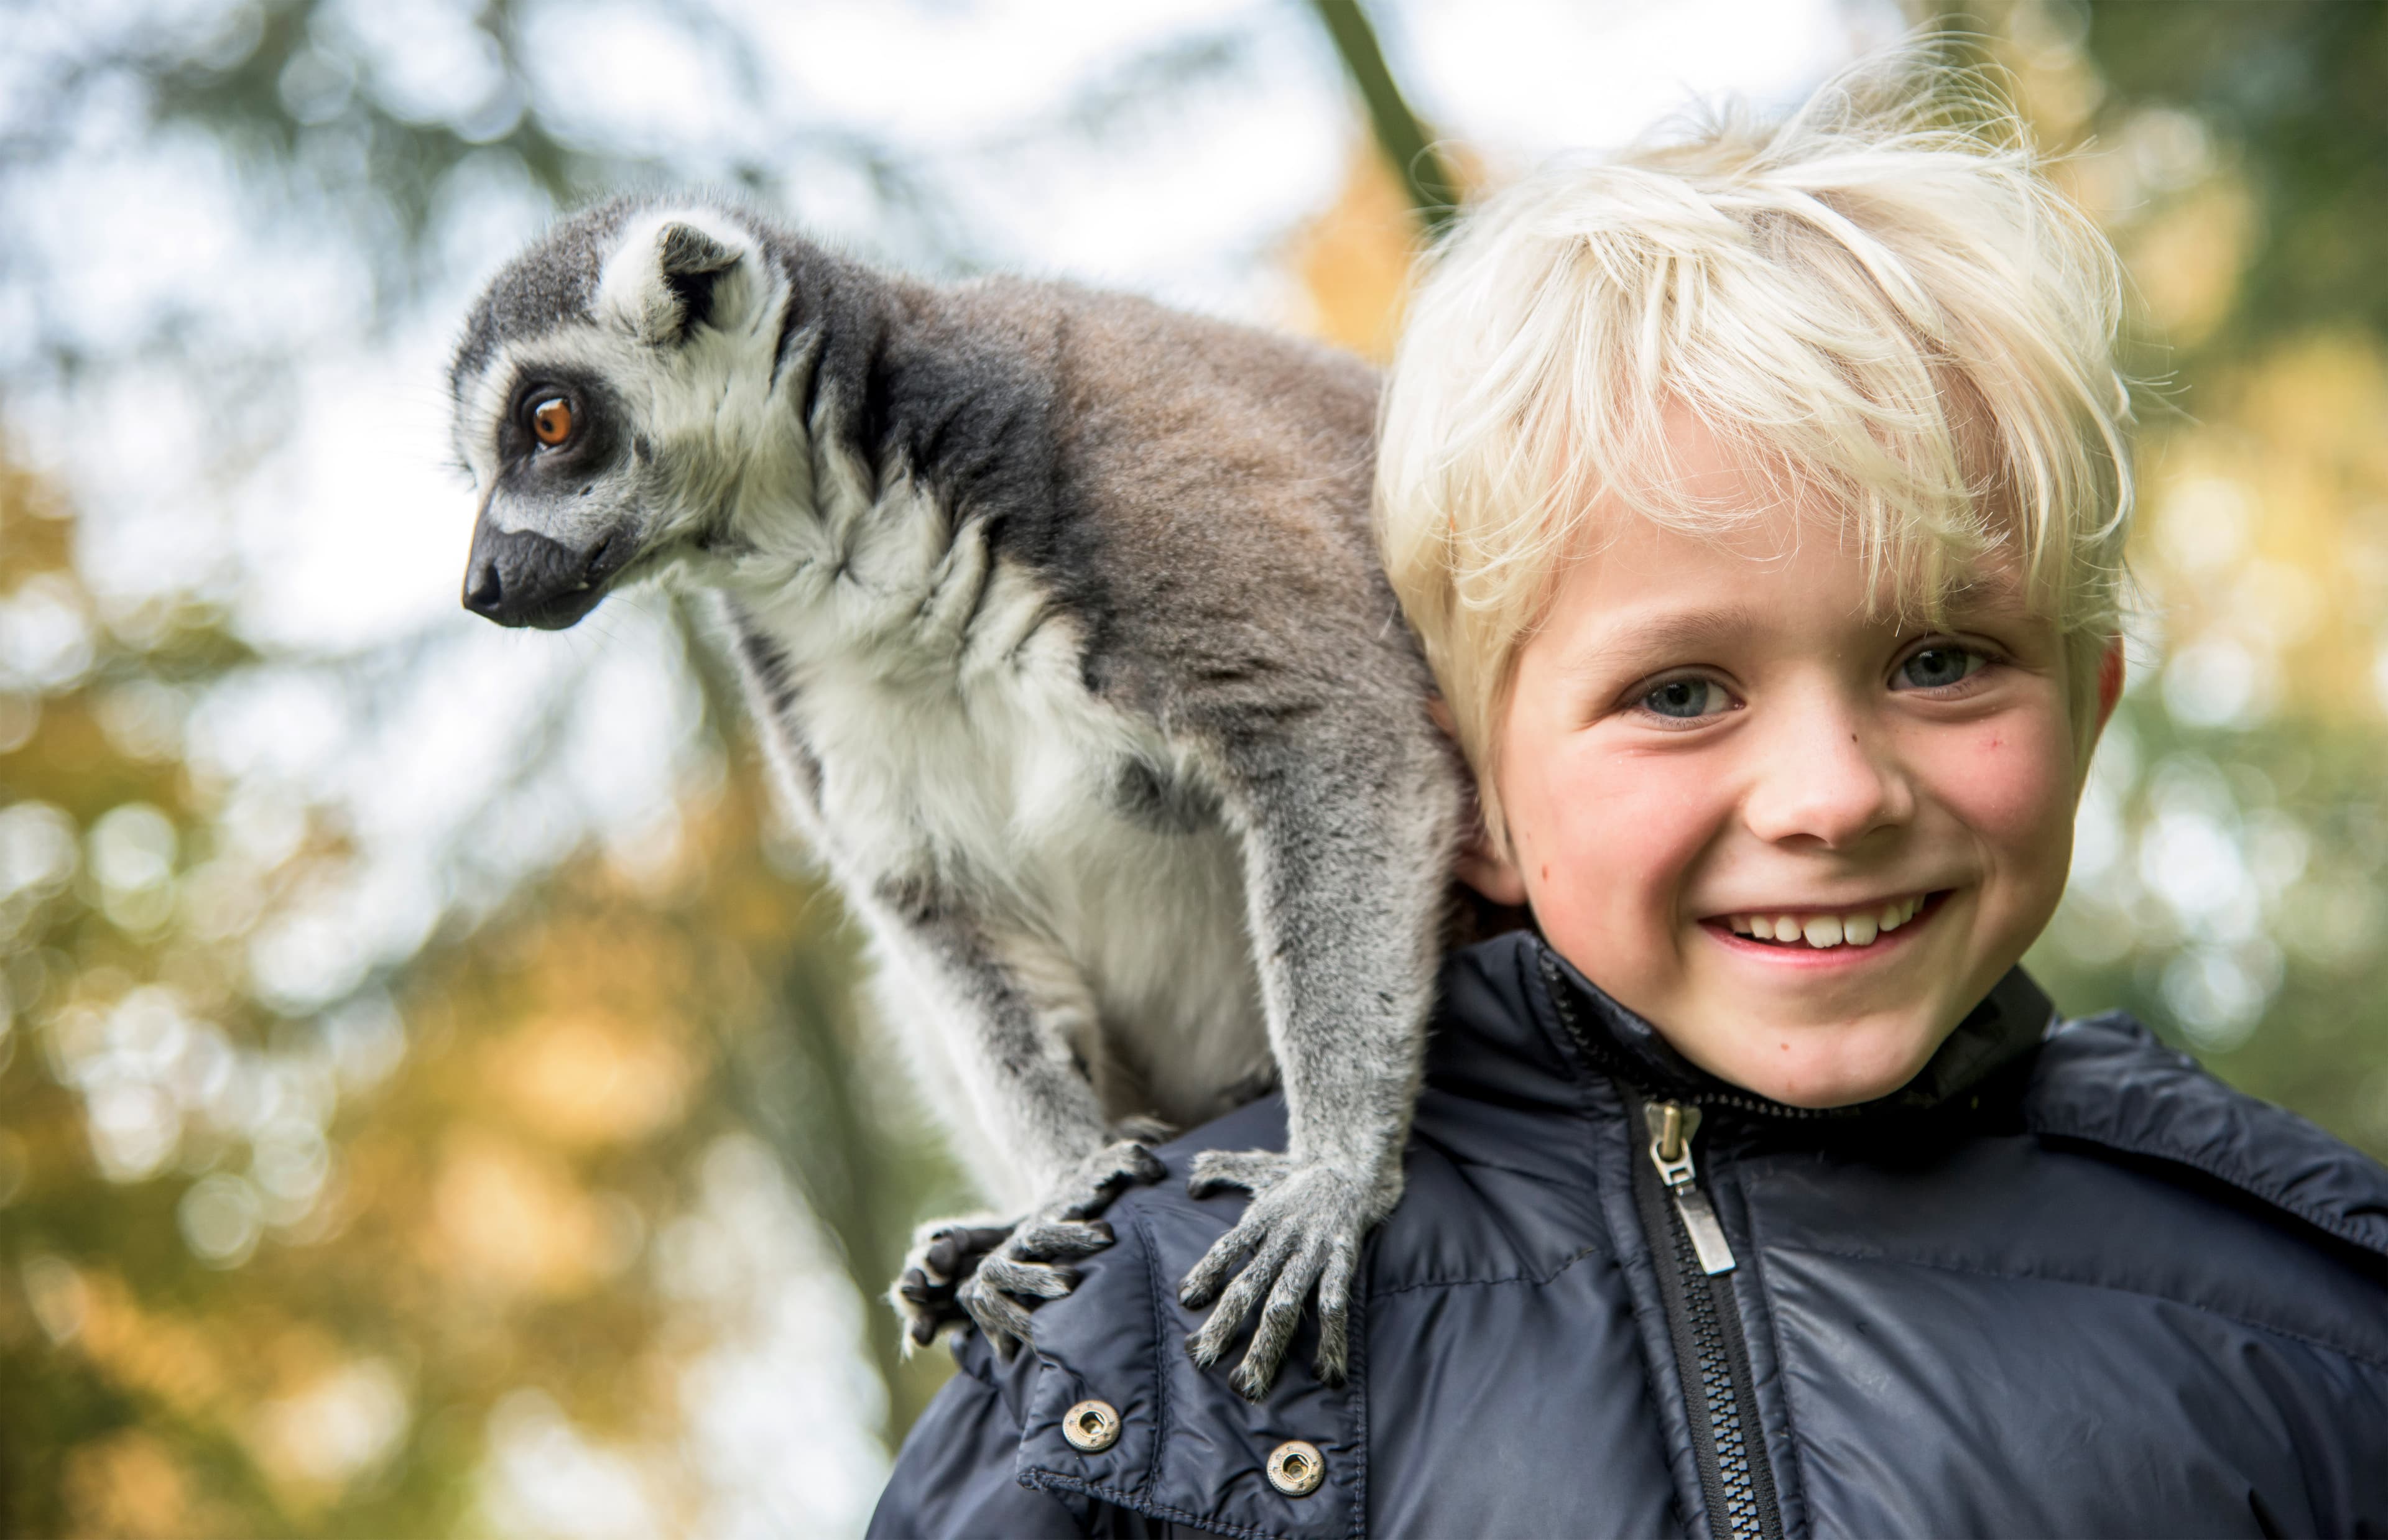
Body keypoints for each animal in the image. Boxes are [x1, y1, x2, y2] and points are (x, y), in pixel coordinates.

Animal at [447, 195, 1460, 1399]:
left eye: (550, 422)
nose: (482, 586)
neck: (848, 555)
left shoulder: (1130, 469)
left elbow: (1333, 734)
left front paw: (1331, 1175)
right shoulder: (813, 693)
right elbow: (946, 915)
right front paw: (1065, 1186)